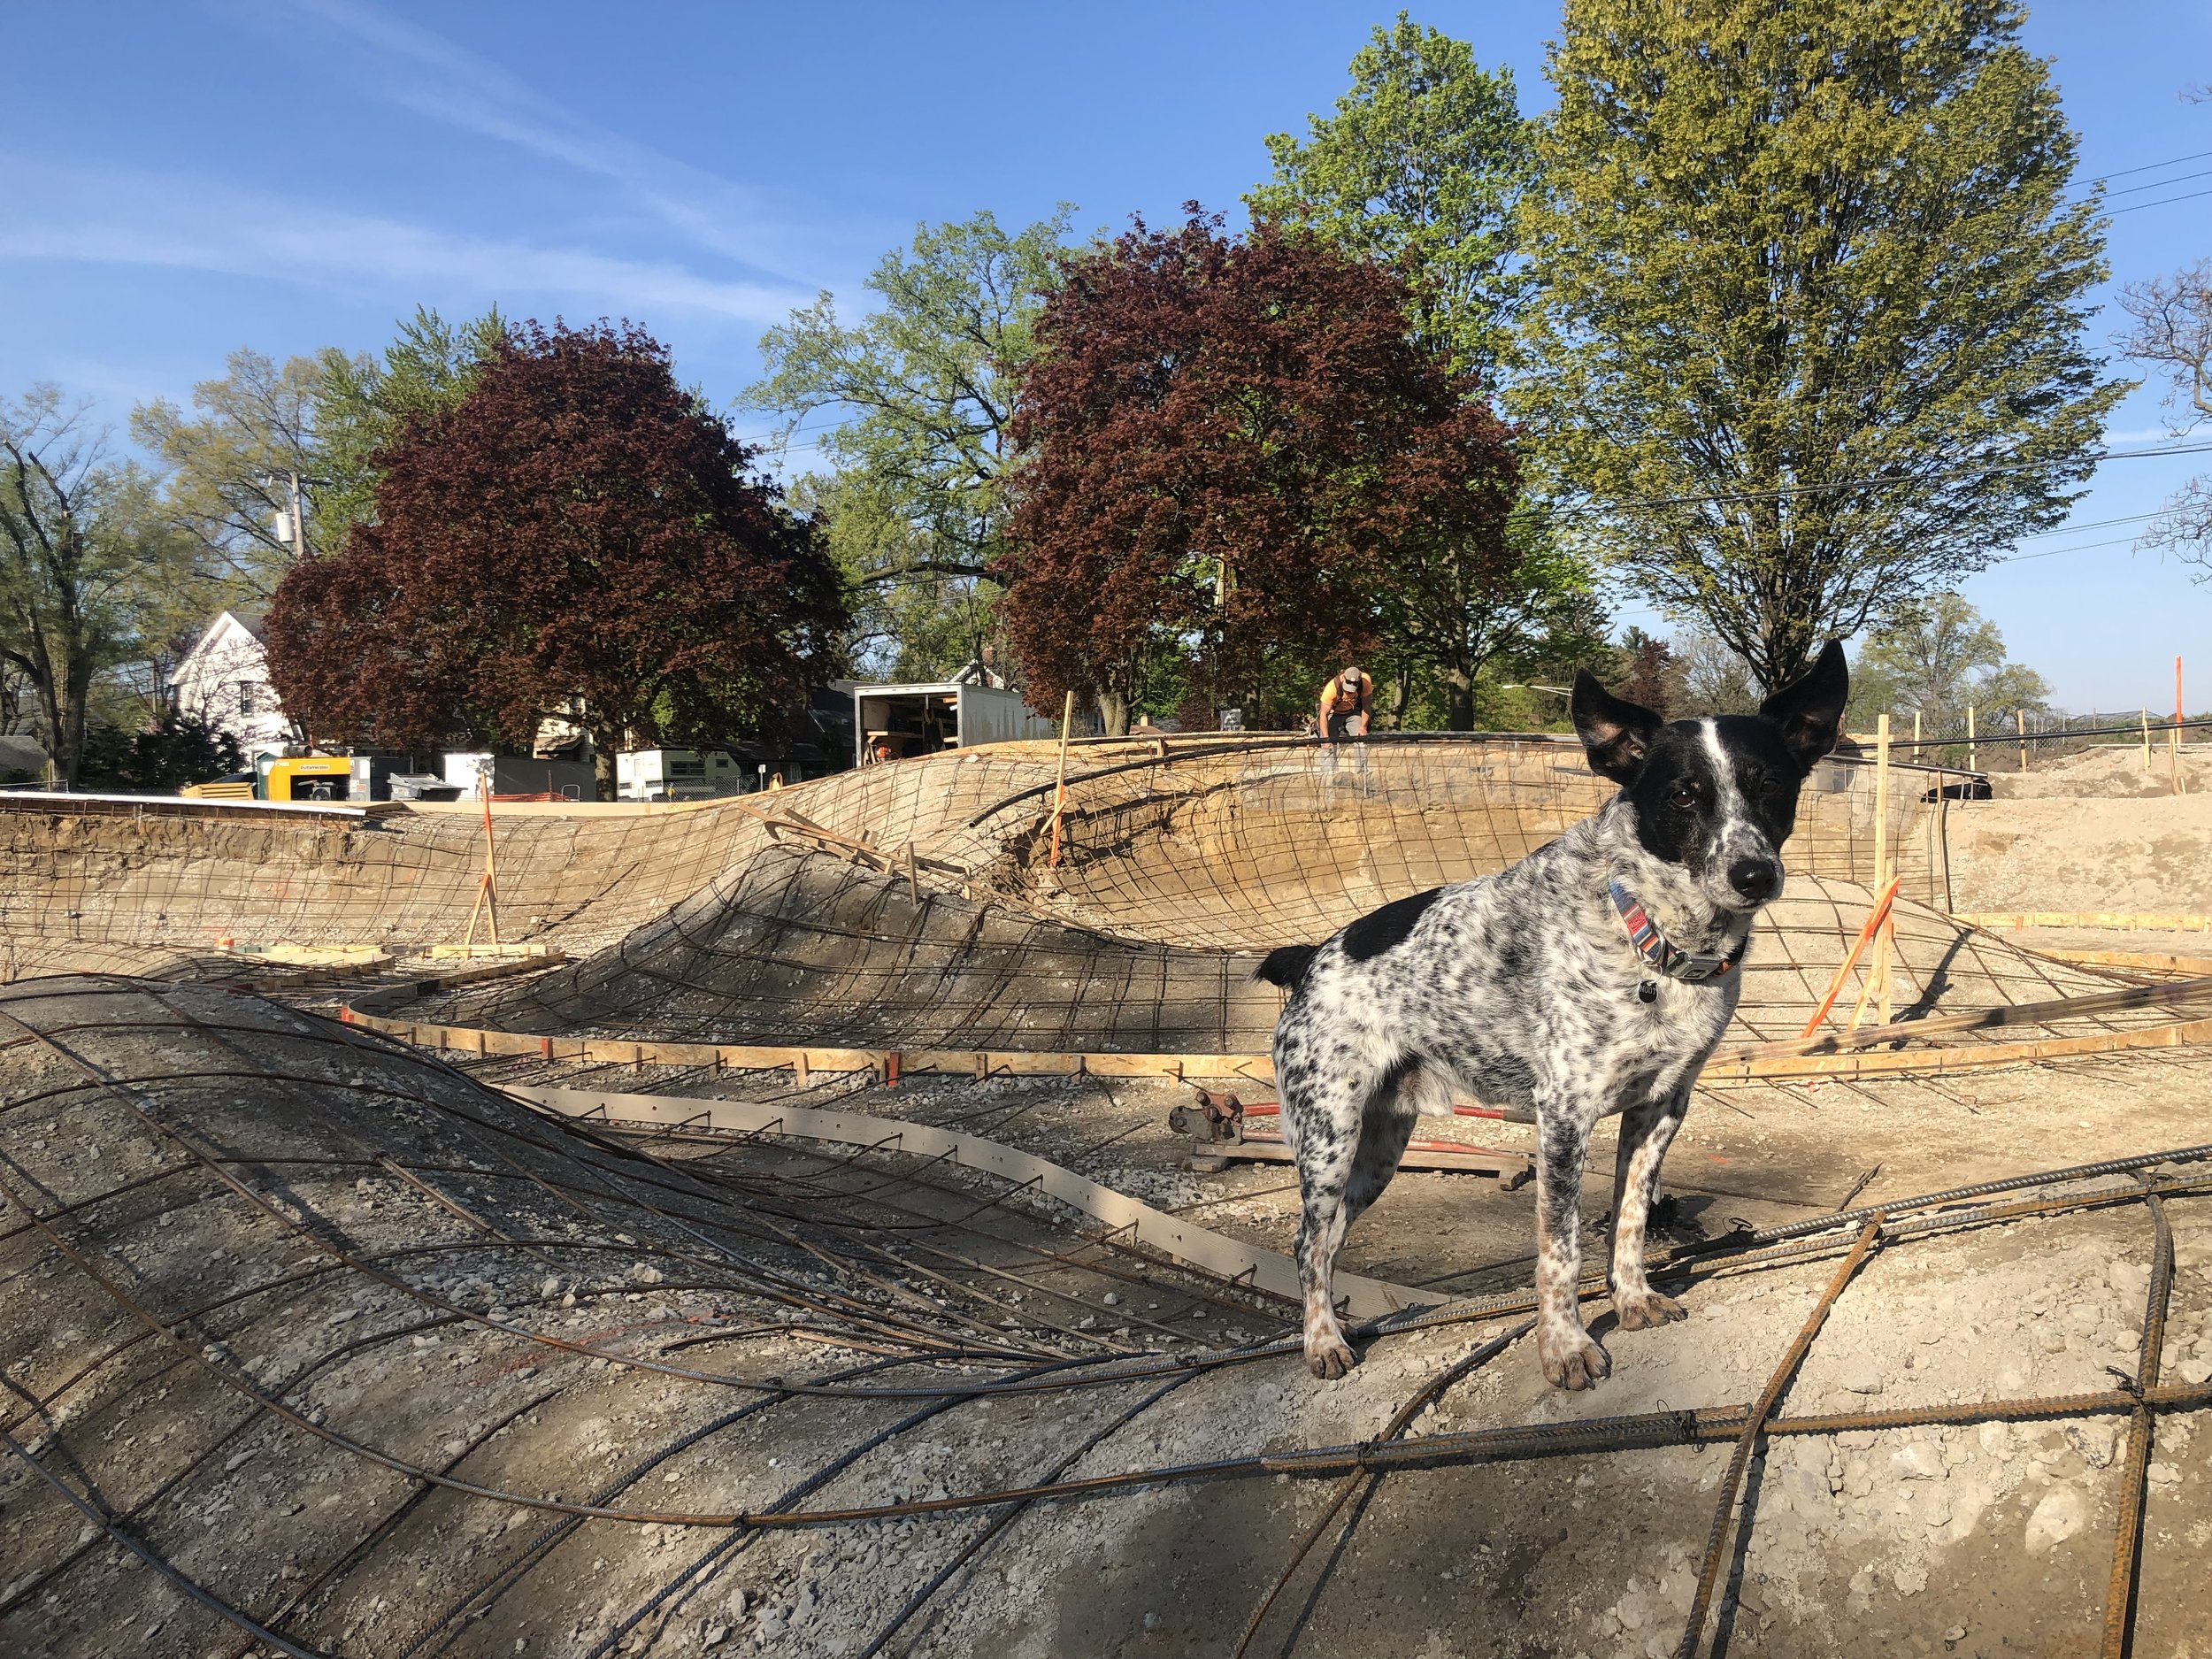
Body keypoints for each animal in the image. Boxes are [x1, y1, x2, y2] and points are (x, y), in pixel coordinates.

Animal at [1265, 646, 1849, 1389]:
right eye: (1683, 794)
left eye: (1769, 783)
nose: (1755, 874)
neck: (1653, 938)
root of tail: (1311, 955)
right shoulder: (1564, 1116)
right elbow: (1562, 1248)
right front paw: (1565, 1345)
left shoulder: (1661, 1108)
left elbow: (1630, 1219)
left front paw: (1632, 1299)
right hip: (1329, 1136)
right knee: (1307, 1241)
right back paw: (1321, 1340)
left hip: (1378, 1150)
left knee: (1328, 1239)